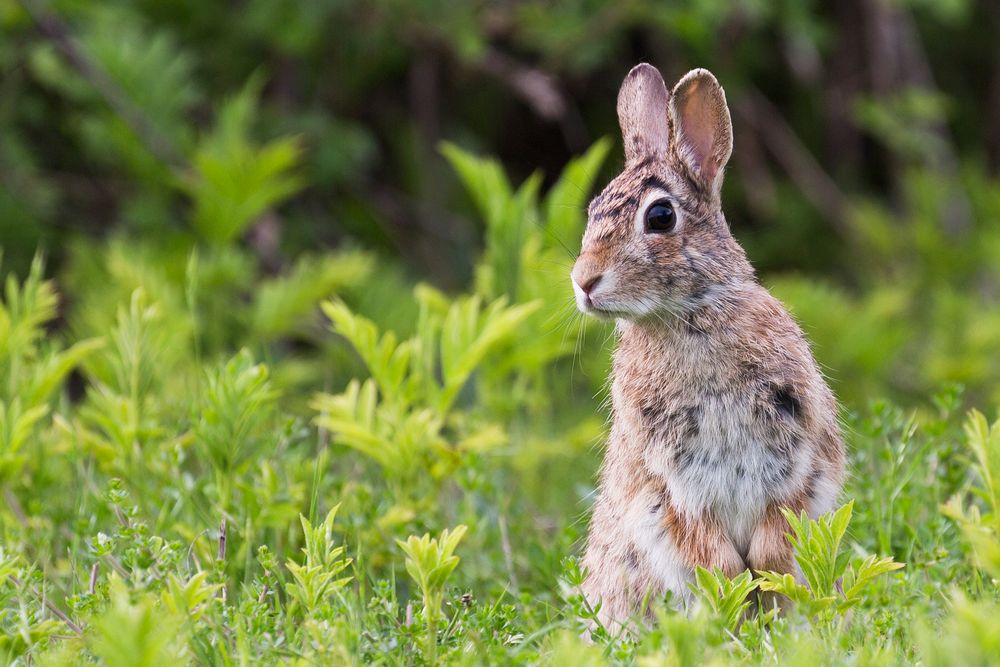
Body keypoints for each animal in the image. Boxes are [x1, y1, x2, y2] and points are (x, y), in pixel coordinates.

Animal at [572, 64, 844, 632]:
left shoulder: (799, 451)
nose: (583, 281)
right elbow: (698, 541)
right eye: (593, 210)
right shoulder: (665, 484)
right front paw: (732, 586)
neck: (687, 317)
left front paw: (767, 576)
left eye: (659, 217)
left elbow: (780, 524)